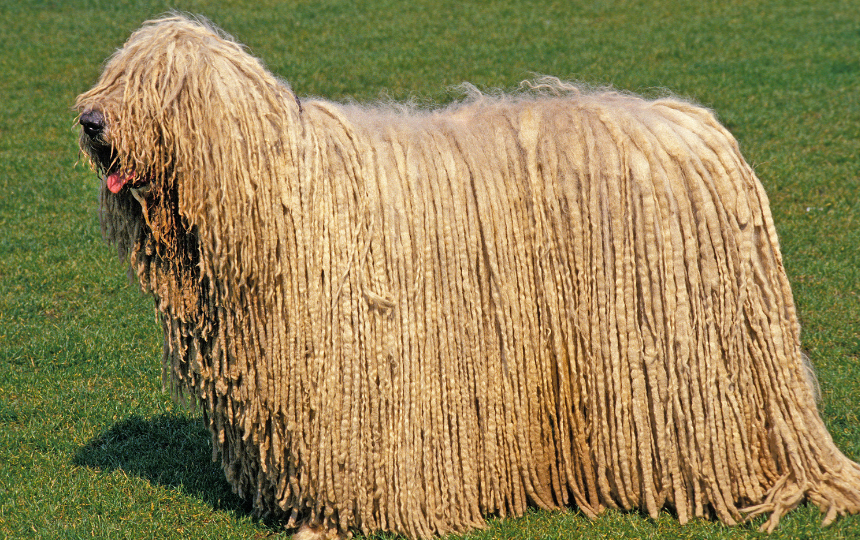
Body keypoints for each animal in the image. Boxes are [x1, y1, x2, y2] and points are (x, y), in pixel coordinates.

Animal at [75, 13, 860, 540]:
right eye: (115, 74)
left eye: (156, 85)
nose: (90, 120)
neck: (278, 200)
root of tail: (701, 133)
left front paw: (328, 523)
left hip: (683, 355)